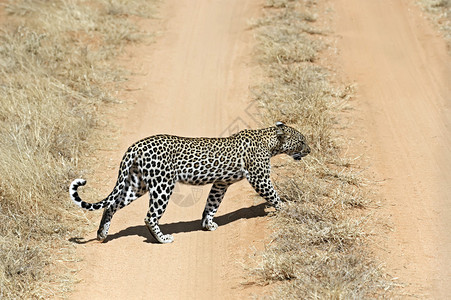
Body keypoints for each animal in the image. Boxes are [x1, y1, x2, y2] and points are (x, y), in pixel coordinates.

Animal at [69, 122, 310, 244]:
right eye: (301, 141)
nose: (309, 150)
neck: (268, 141)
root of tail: (135, 146)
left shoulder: (221, 183)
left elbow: (212, 205)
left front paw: (208, 224)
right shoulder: (260, 178)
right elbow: (274, 195)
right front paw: (287, 209)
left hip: (137, 184)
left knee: (111, 205)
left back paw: (102, 234)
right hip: (162, 185)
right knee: (150, 216)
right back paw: (163, 239)